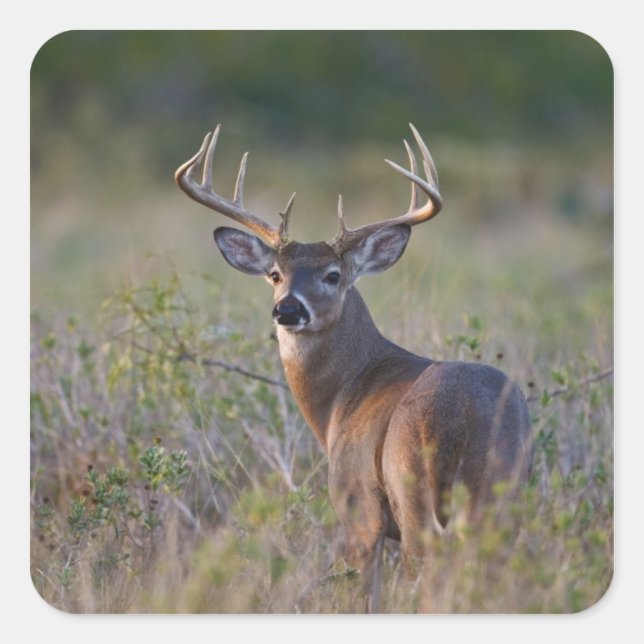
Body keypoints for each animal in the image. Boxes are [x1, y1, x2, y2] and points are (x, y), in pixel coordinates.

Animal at [175, 124, 533, 611]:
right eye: (274, 274)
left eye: (333, 275)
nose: (288, 310)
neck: (341, 399)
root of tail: (461, 418)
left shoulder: (356, 504)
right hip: (502, 497)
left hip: (413, 493)